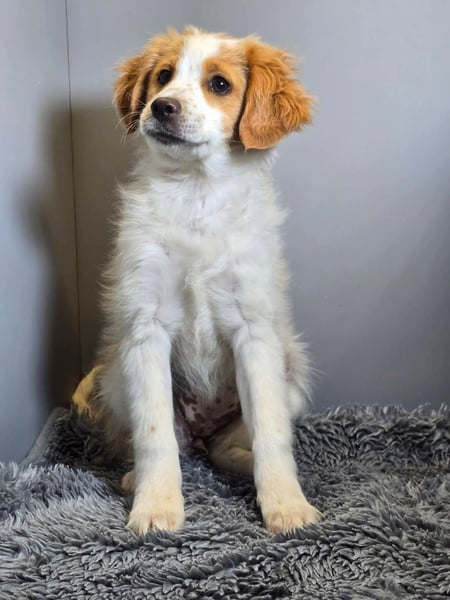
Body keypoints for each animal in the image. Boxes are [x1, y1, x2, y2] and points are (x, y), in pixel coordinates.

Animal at [73, 26, 322, 535]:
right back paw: (137, 478)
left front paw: (286, 505)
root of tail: (204, 431)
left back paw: (245, 465)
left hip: (293, 372)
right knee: (175, 443)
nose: (161, 107)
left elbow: (271, 433)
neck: (196, 192)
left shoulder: (254, 331)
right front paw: (155, 506)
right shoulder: (146, 325)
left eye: (220, 84)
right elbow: (154, 437)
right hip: (116, 378)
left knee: (230, 448)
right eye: (163, 76)